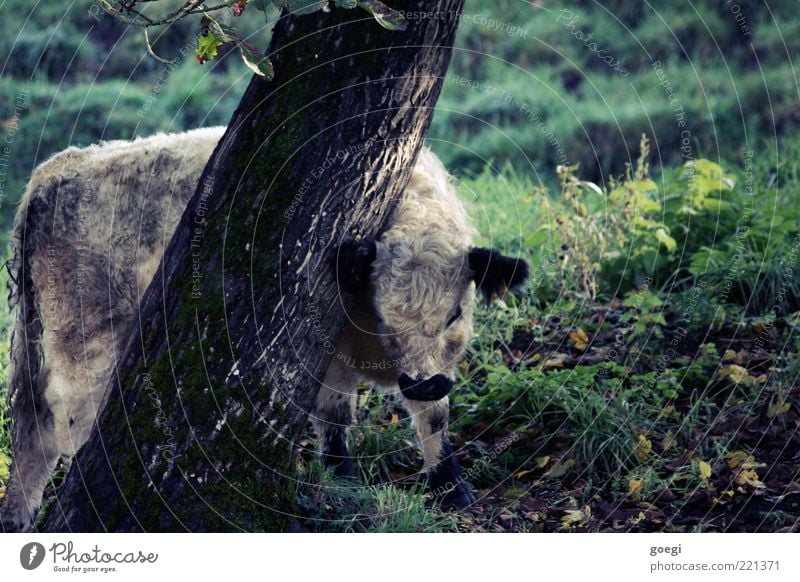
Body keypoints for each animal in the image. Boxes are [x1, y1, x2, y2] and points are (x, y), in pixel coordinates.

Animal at [1, 129, 532, 532]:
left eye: (455, 313)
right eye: (386, 315)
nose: (421, 381)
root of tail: (56, 171)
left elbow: (432, 415)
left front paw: (449, 488)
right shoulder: (331, 351)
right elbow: (337, 414)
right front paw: (344, 480)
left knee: (33, 432)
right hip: (86, 338)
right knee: (68, 419)